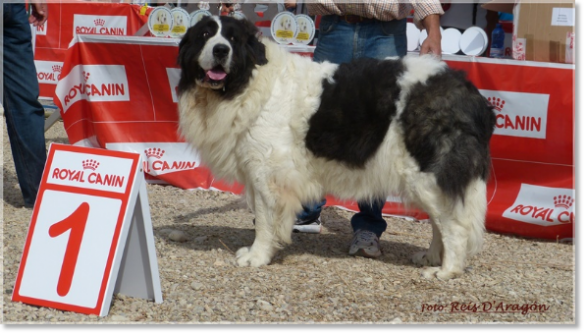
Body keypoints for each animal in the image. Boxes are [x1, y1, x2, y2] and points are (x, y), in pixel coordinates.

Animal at [177, 17, 492, 282]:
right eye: (204, 35)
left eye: (232, 39)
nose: (220, 50)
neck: (249, 83)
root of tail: (471, 93)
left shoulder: (268, 175)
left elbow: (264, 221)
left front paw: (257, 256)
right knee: (441, 221)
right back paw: (431, 257)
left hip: (428, 175)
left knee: (454, 225)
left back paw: (446, 270)